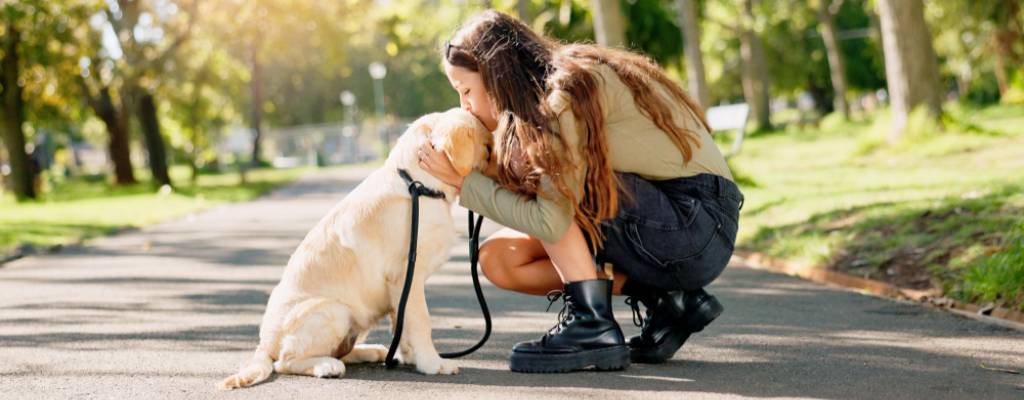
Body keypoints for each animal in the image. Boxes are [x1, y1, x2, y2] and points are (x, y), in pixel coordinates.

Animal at [218, 107, 489, 390]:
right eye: (487, 147)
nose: (496, 161)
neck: (417, 184)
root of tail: (264, 342)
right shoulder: (407, 275)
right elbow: (421, 321)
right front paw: (433, 364)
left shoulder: (400, 288)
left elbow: (402, 324)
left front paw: (412, 357)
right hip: (334, 310)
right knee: (285, 361)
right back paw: (327, 366)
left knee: (342, 351)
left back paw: (372, 351)